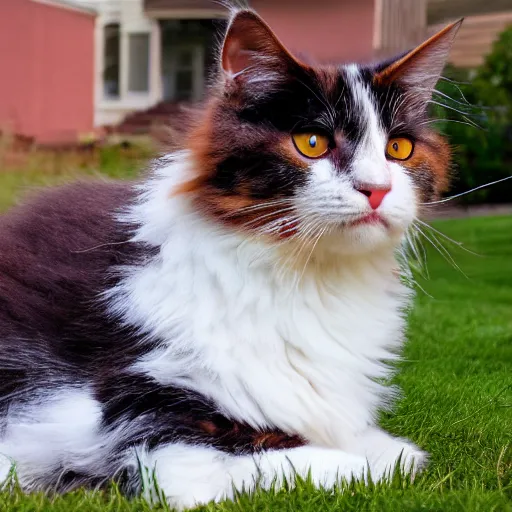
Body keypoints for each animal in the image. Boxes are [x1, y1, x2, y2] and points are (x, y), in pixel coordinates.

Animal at [0, 9, 460, 512]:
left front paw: (382, 446)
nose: (377, 189)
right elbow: (296, 459)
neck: (311, 278)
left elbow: (378, 444)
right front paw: (358, 461)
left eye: (398, 149)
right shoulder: (150, 426)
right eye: (312, 143)